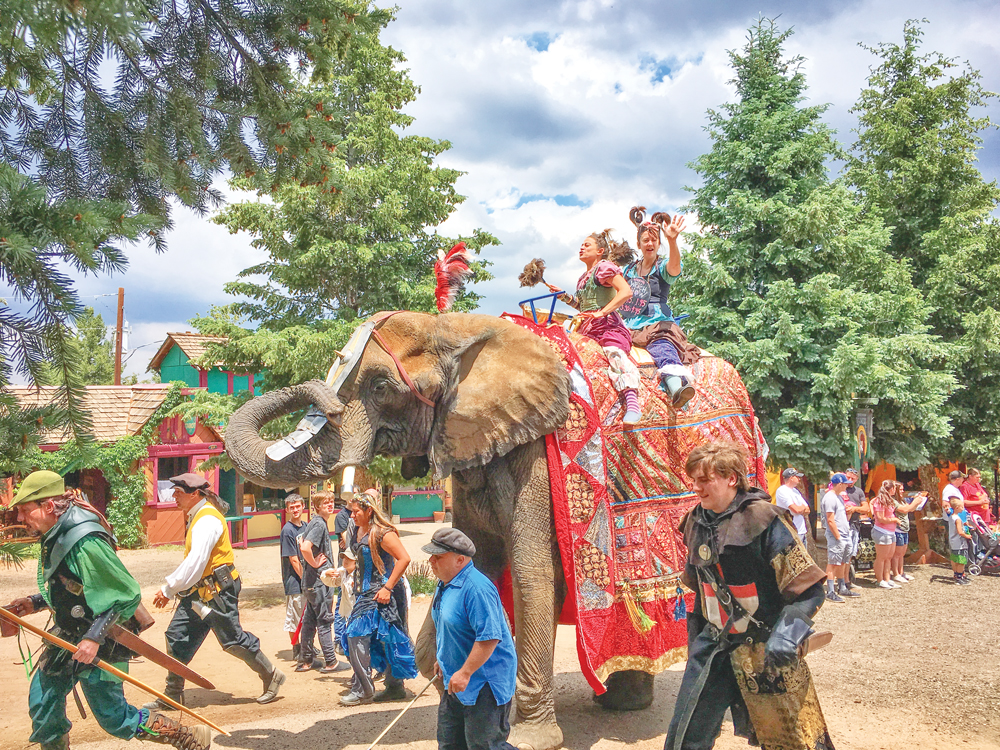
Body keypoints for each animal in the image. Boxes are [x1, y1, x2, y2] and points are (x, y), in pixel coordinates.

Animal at [227, 312, 660, 750]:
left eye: (380, 388)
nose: (325, 402)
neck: (455, 328)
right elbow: (472, 568)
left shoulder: (535, 451)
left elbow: (532, 576)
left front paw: (528, 739)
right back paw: (624, 703)